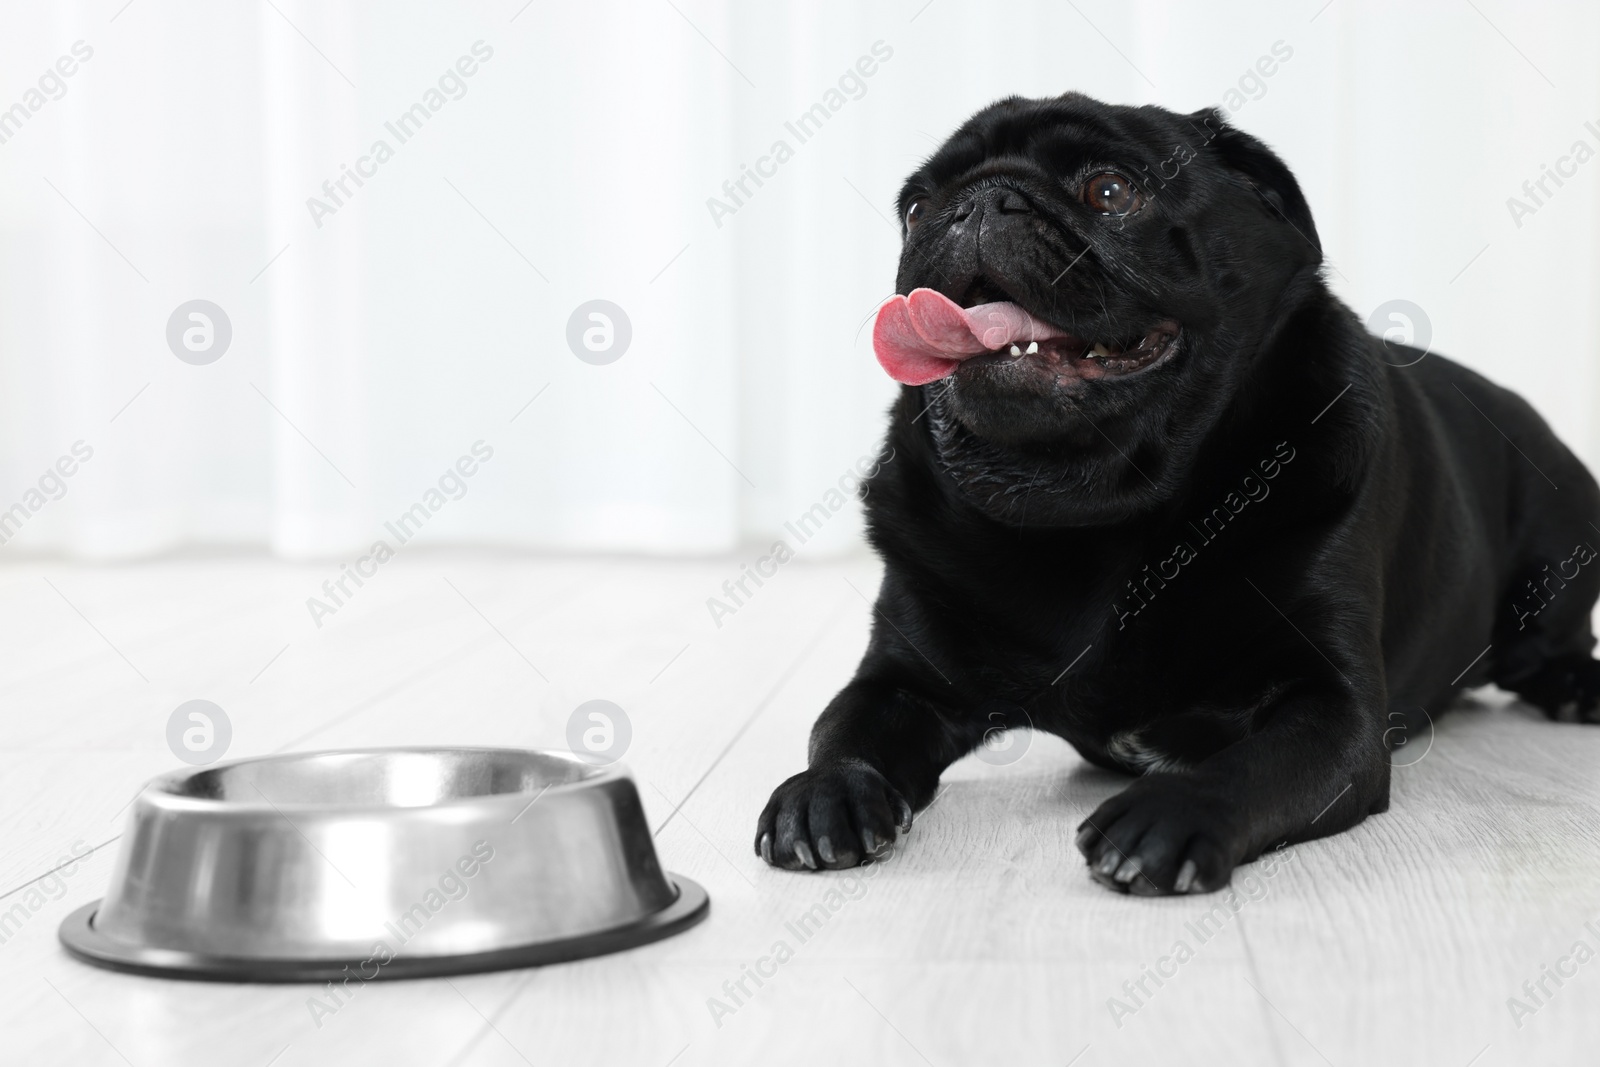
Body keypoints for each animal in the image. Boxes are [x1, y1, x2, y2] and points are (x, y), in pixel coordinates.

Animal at [752, 91, 1600, 895]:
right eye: (917, 208)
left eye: (1110, 190)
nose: (981, 201)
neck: (1092, 511)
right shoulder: (901, 679)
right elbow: (843, 727)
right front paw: (826, 792)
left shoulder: (1332, 706)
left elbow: (1253, 763)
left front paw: (1170, 812)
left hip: (1562, 526)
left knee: (1542, 645)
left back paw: (1573, 685)